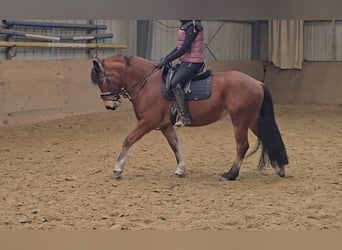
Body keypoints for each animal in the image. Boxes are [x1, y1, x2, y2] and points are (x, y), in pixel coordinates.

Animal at [91, 54, 288, 181]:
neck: (147, 83)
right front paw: (180, 170)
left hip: (240, 121)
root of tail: (257, 82)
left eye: (102, 81)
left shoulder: (148, 122)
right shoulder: (165, 126)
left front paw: (117, 169)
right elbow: (176, 146)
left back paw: (231, 174)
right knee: (267, 137)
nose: (109, 106)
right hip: (252, 120)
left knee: (242, 145)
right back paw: (280, 167)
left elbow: (128, 139)